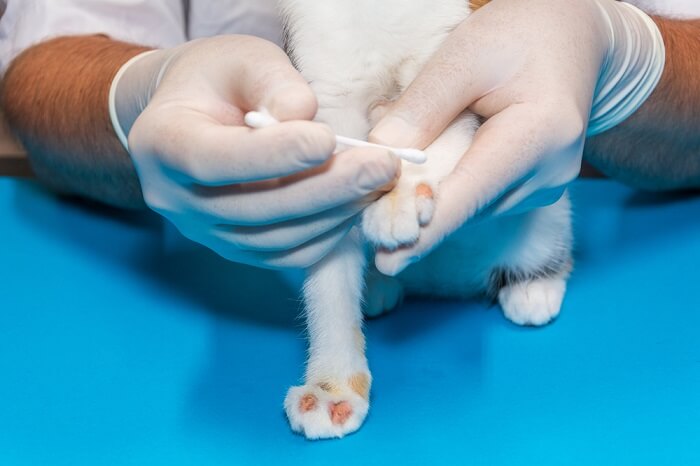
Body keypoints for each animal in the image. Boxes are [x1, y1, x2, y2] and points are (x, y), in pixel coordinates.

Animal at [276, 0, 572, 438]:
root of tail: (448, 284)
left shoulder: (455, 63)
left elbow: (434, 131)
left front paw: (401, 195)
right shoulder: (325, 92)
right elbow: (328, 278)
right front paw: (332, 387)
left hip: (552, 206)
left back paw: (533, 287)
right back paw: (379, 286)